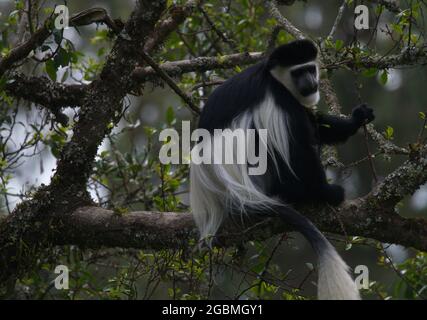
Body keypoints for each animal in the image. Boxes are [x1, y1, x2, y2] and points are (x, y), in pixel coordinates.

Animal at [191, 39, 374, 300]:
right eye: (297, 73)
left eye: (310, 68)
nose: (310, 83)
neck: (273, 79)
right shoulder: (279, 102)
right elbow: (298, 144)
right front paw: (326, 193)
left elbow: (316, 123)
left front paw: (355, 120)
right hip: (260, 176)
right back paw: (303, 193)